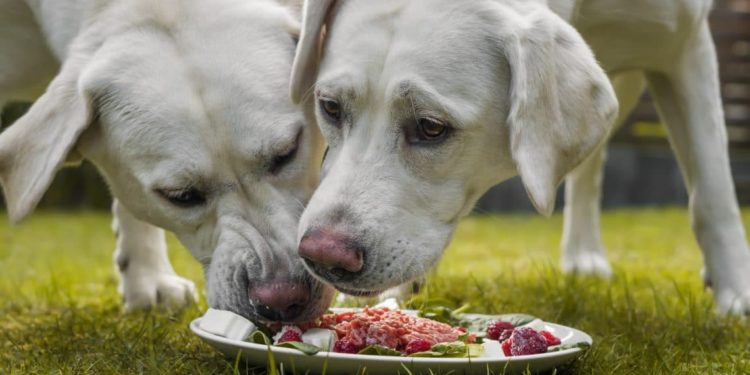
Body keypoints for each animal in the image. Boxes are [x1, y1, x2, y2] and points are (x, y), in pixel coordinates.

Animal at [290, 0, 750, 318]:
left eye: (431, 127)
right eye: (330, 107)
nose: (322, 257)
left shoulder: (686, 47)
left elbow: (711, 190)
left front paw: (737, 294)